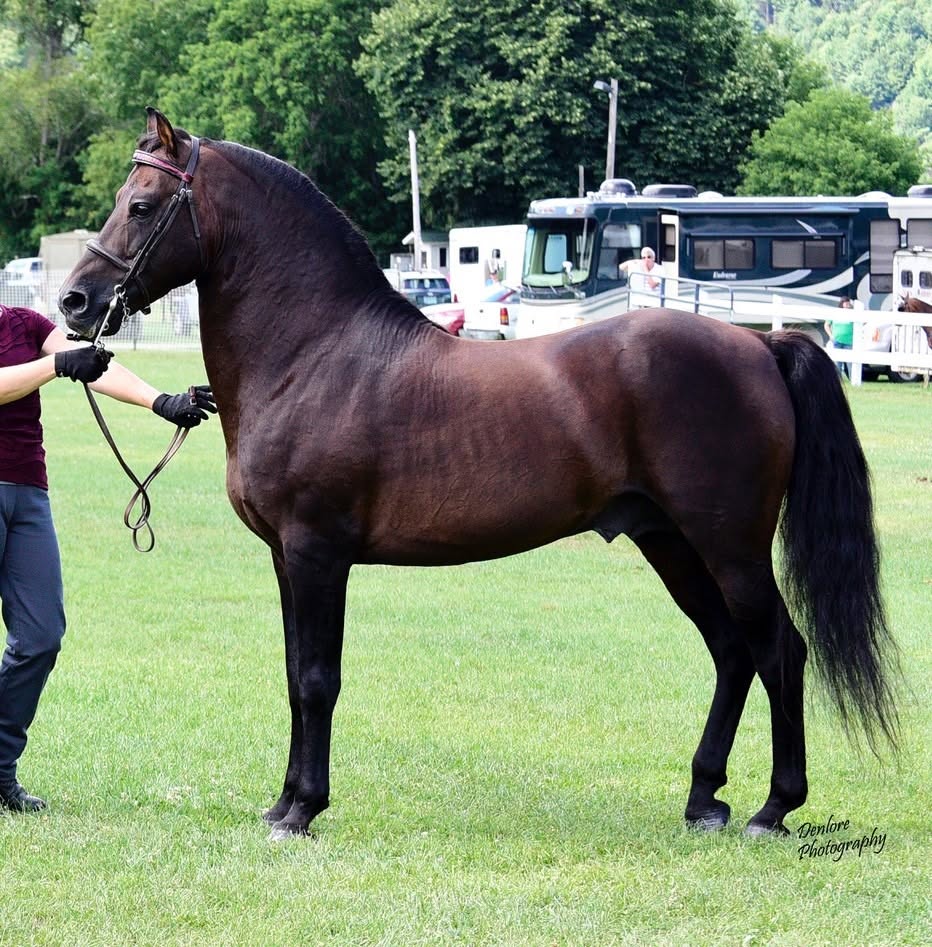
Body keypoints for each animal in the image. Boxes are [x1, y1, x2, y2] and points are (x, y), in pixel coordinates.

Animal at [59, 109, 898, 840]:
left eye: (141, 205)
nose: (75, 300)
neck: (314, 352)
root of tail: (760, 345)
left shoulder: (317, 552)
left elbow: (318, 678)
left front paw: (303, 810)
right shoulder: (285, 557)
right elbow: (296, 673)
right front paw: (284, 801)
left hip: (729, 547)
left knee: (778, 649)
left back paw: (773, 807)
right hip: (671, 542)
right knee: (731, 651)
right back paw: (704, 798)